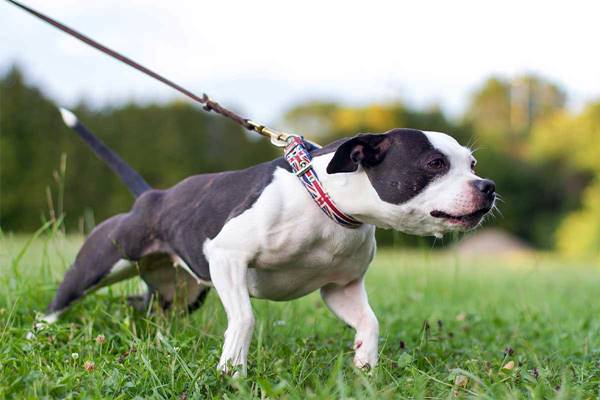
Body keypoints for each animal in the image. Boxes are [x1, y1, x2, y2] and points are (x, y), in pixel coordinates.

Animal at [38, 107, 496, 376]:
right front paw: (232, 371)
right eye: (434, 164)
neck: (323, 199)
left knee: (143, 305)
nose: (487, 186)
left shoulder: (341, 288)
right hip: (100, 262)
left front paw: (365, 364)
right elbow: (244, 319)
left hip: (179, 293)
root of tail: (151, 196)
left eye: (473, 164)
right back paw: (38, 334)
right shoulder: (227, 258)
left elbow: (371, 322)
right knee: (61, 299)